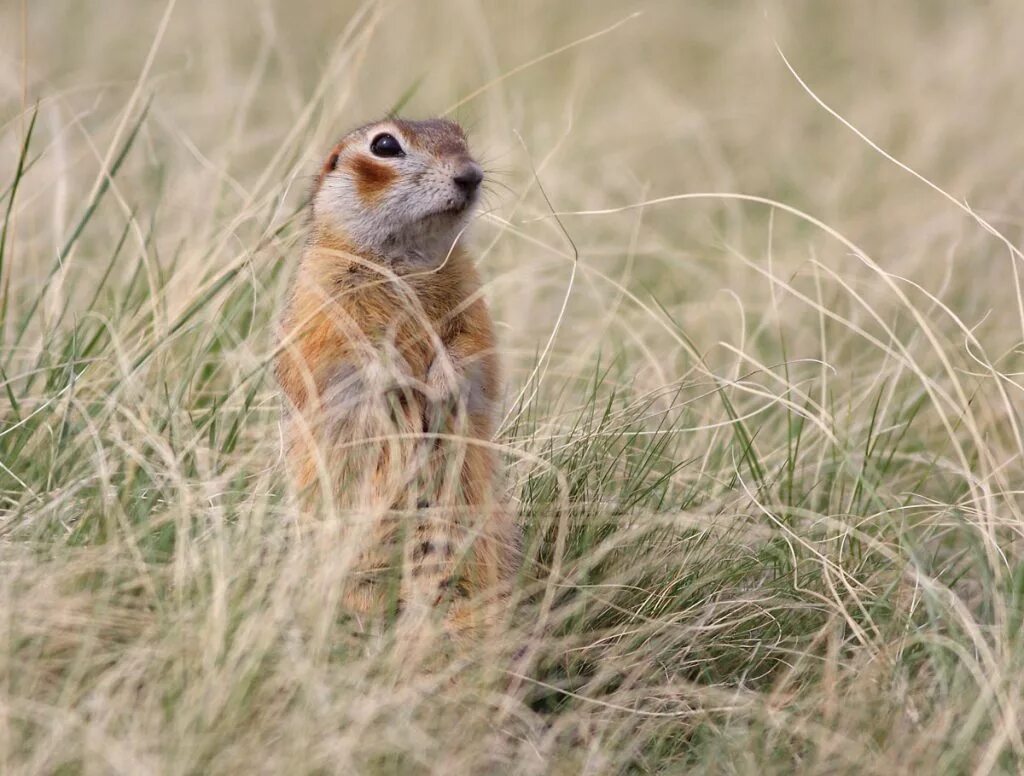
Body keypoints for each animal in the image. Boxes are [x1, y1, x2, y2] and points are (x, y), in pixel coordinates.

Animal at [276, 117, 520, 638]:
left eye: (460, 134)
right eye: (384, 145)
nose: (471, 175)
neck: (406, 260)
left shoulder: (472, 300)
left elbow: (472, 347)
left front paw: (443, 387)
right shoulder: (324, 299)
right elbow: (349, 352)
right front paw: (398, 389)